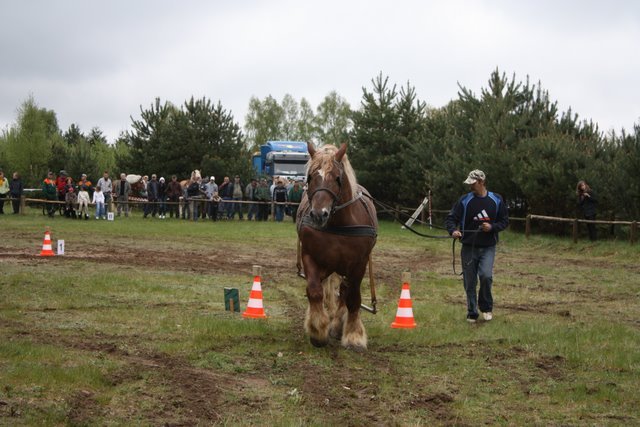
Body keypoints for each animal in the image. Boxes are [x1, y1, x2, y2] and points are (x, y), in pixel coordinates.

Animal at [296, 144, 378, 352]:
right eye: (310, 177)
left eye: (337, 178)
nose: (319, 214)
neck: (339, 224)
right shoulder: (310, 256)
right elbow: (314, 291)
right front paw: (317, 330)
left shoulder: (358, 263)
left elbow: (353, 298)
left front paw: (354, 336)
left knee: (345, 290)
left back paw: (339, 324)